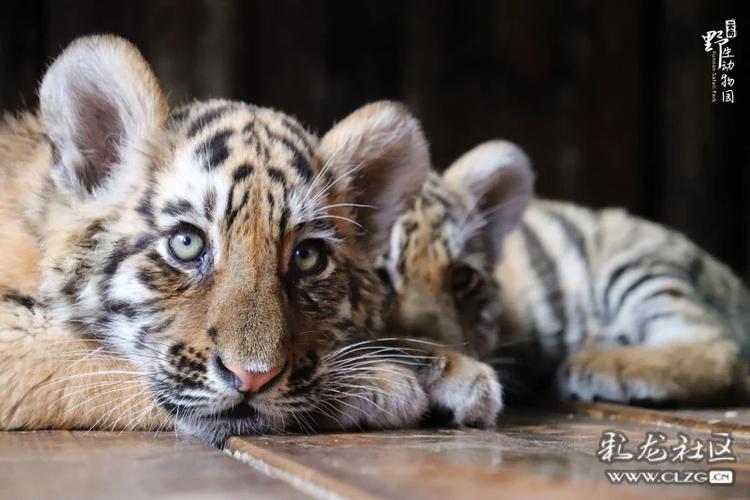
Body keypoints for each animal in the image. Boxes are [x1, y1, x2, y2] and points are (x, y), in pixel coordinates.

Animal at [0, 35, 502, 445]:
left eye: (306, 256)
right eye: (186, 244)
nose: (252, 378)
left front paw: (450, 368)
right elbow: (87, 360)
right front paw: (381, 381)